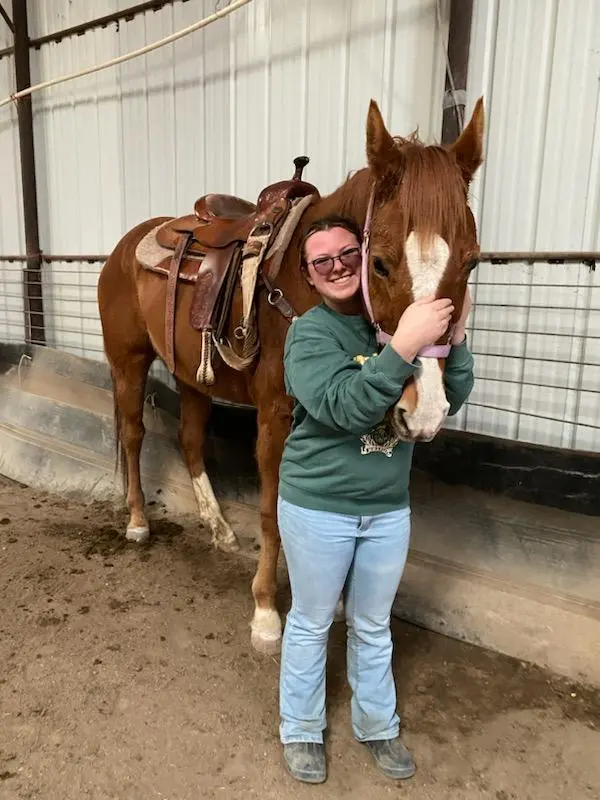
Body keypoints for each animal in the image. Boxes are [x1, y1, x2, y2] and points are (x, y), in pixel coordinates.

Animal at [97, 97, 484, 654]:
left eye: (471, 263)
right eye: (379, 263)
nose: (426, 411)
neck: (302, 284)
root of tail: (126, 246)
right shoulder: (277, 417)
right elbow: (272, 511)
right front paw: (264, 611)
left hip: (193, 379)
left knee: (190, 441)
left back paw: (217, 528)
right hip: (127, 362)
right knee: (132, 434)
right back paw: (136, 522)